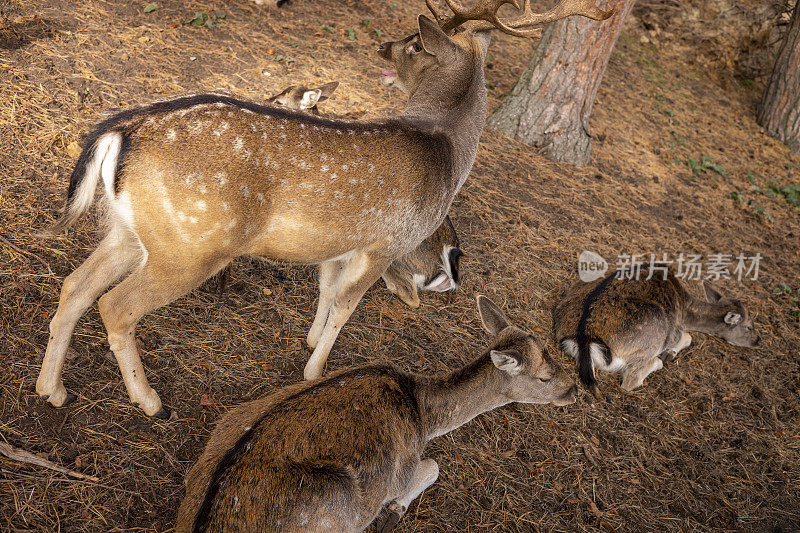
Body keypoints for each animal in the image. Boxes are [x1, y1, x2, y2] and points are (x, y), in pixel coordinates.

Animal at [34, 0, 612, 418]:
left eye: (410, 45)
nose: (383, 43)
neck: (445, 153)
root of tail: (118, 133)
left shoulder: (342, 243)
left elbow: (327, 292)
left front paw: (309, 343)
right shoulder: (385, 242)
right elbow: (346, 307)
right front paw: (314, 374)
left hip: (132, 231)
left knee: (75, 285)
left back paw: (51, 390)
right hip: (193, 242)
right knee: (115, 305)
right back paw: (149, 401)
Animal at [177, 296, 576, 532]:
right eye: (544, 376)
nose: (572, 390)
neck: (425, 417)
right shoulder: (402, 470)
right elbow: (433, 467)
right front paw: (394, 511)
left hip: (225, 427)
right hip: (334, 505)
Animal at [552, 266, 760, 394]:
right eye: (749, 326)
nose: (758, 341)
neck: (686, 310)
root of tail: (583, 337)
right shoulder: (674, 332)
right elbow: (688, 337)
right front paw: (670, 353)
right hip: (654, 329)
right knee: (631, 380)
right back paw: (658, 361)